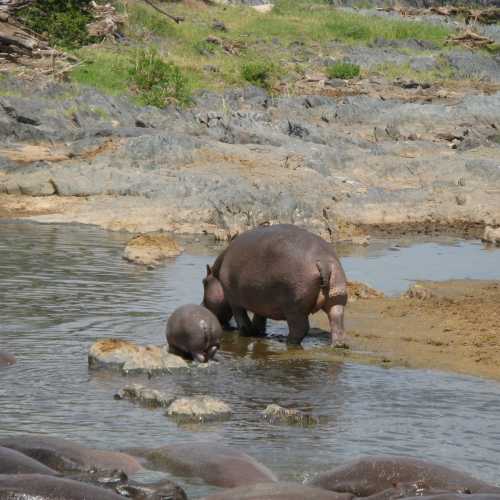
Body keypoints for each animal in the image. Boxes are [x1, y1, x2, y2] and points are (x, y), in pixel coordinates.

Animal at [203, 225, 348, 346]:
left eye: (204, 282)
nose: (202, 306)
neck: (217, 274)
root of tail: (323, 261)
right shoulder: (260, 300)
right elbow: (259, 319)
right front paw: (258, 332)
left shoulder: (233, 300)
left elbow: (242, 321)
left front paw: (246, 333)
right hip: (337, 296)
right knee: (337, 319)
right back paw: (338, 345)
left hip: (295, 306)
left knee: (300, 328)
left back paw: (288, 342)